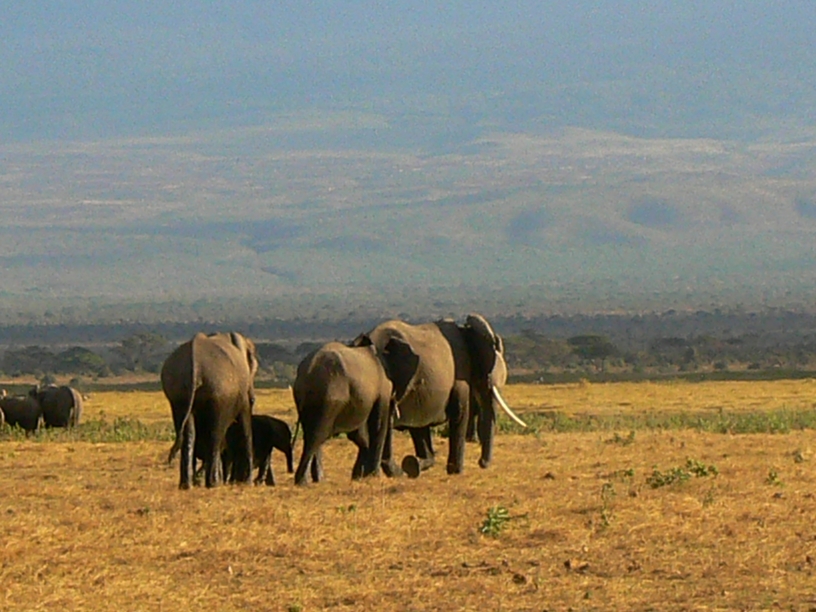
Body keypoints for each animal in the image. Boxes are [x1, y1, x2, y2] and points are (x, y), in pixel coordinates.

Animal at [161, 331, 259, 489]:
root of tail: (195, 363)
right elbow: (245, 424)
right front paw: (248, 482)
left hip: (178, 391)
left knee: (188, 433)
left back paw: (186, 485)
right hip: (218, 390)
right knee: (215, 432)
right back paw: (214, 483)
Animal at [292, 338, 417, 485]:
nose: (402, 473)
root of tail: (308, 370)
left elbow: (358, 433)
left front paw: (358, 476)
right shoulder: (383, 387)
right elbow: (379, 425)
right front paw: (373, 476)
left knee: (311, 432)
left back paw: (318, 480)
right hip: (329, 396)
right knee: (317, 434)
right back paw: (303, 482)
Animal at [353, 313, 526, 478]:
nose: (481, 463)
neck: (466, 330)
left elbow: (419, 425)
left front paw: (415, 464)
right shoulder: (460, 370)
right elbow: (460, 414)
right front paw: (456, 472)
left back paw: (360, 476)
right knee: (384, 423)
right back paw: (391, 473)